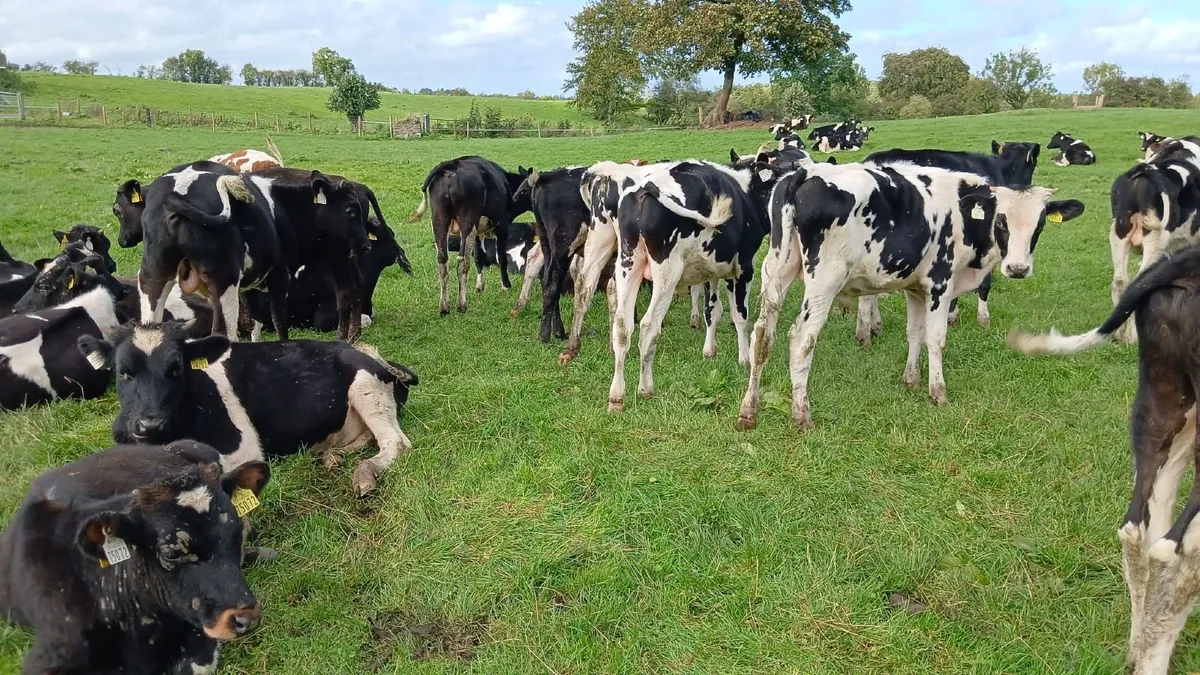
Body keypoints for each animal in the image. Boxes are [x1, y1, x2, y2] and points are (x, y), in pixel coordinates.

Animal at [77, 323, 420, 496]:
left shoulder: (243, 448)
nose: (150, 424)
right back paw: (331, 457)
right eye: (123, 372)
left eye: (176, 368)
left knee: (396, 443)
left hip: (366, 387)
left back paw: (365, 474)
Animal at [409, 156, 532, 315]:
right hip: (467, 222)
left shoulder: (478, 232)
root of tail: (450, 165)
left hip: (439, 220)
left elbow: (479, 257)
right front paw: (506, 286)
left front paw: (479, 286)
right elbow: (502, 258)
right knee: (462, 261)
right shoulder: (502, 226)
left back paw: (444, 307)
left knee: (442, 260)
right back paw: (462, 304)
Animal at [602, 158, 781, 413]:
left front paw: (710, 350)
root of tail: (645, 187)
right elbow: (739, 315)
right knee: (648, 325)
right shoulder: (744, 268)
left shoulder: (712, 271)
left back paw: (616, 396)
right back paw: (646, 387)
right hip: (667, 273)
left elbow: (712, 311)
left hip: (628, 264)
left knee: (622, 326)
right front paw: (744, 358)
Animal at [734, 161, 1084, 431]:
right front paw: (937, 391)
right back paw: (802, 413)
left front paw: (911, 380)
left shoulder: (916, 288)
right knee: (802, 339)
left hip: (777, 269)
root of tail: (806, 173)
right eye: (1001, 220)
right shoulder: (940, 284)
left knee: (762, 335)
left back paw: (749, 410)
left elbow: (914, 333)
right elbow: (936, 338)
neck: (963, 212)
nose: (1018, 268)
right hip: (824, 281)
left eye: (1040, 224)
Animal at [1108, 139, 1200, 343]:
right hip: (1155, 238)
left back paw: (1118, 334)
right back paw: (1133, 337)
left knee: (1120, 281)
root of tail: (1142, 171)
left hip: (1118, 232)